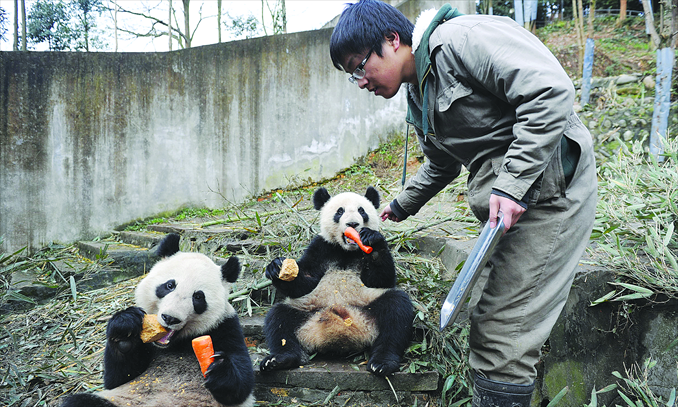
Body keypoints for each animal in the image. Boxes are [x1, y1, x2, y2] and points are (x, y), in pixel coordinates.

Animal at [61, 233, 255, 407]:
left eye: (198, 297)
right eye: (169, 285)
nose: (170, 318)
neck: (173, 345)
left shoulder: (225, 326)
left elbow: (241, 386)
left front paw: (219, 369)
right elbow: (118, 378)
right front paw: (124, 329)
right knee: (81, 401)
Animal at [260, 186, 414, 377]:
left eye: (362, 211)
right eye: (339, 212)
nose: (352, 224)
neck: (346, 250)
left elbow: (382, 280)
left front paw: (373, 243)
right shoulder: (321, 247)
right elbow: (304, 284)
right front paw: (277, 267)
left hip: (369, 307)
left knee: (396, 313)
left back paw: (382, 363)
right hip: (306, 311)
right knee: (279, 320)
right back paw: (279, 359)